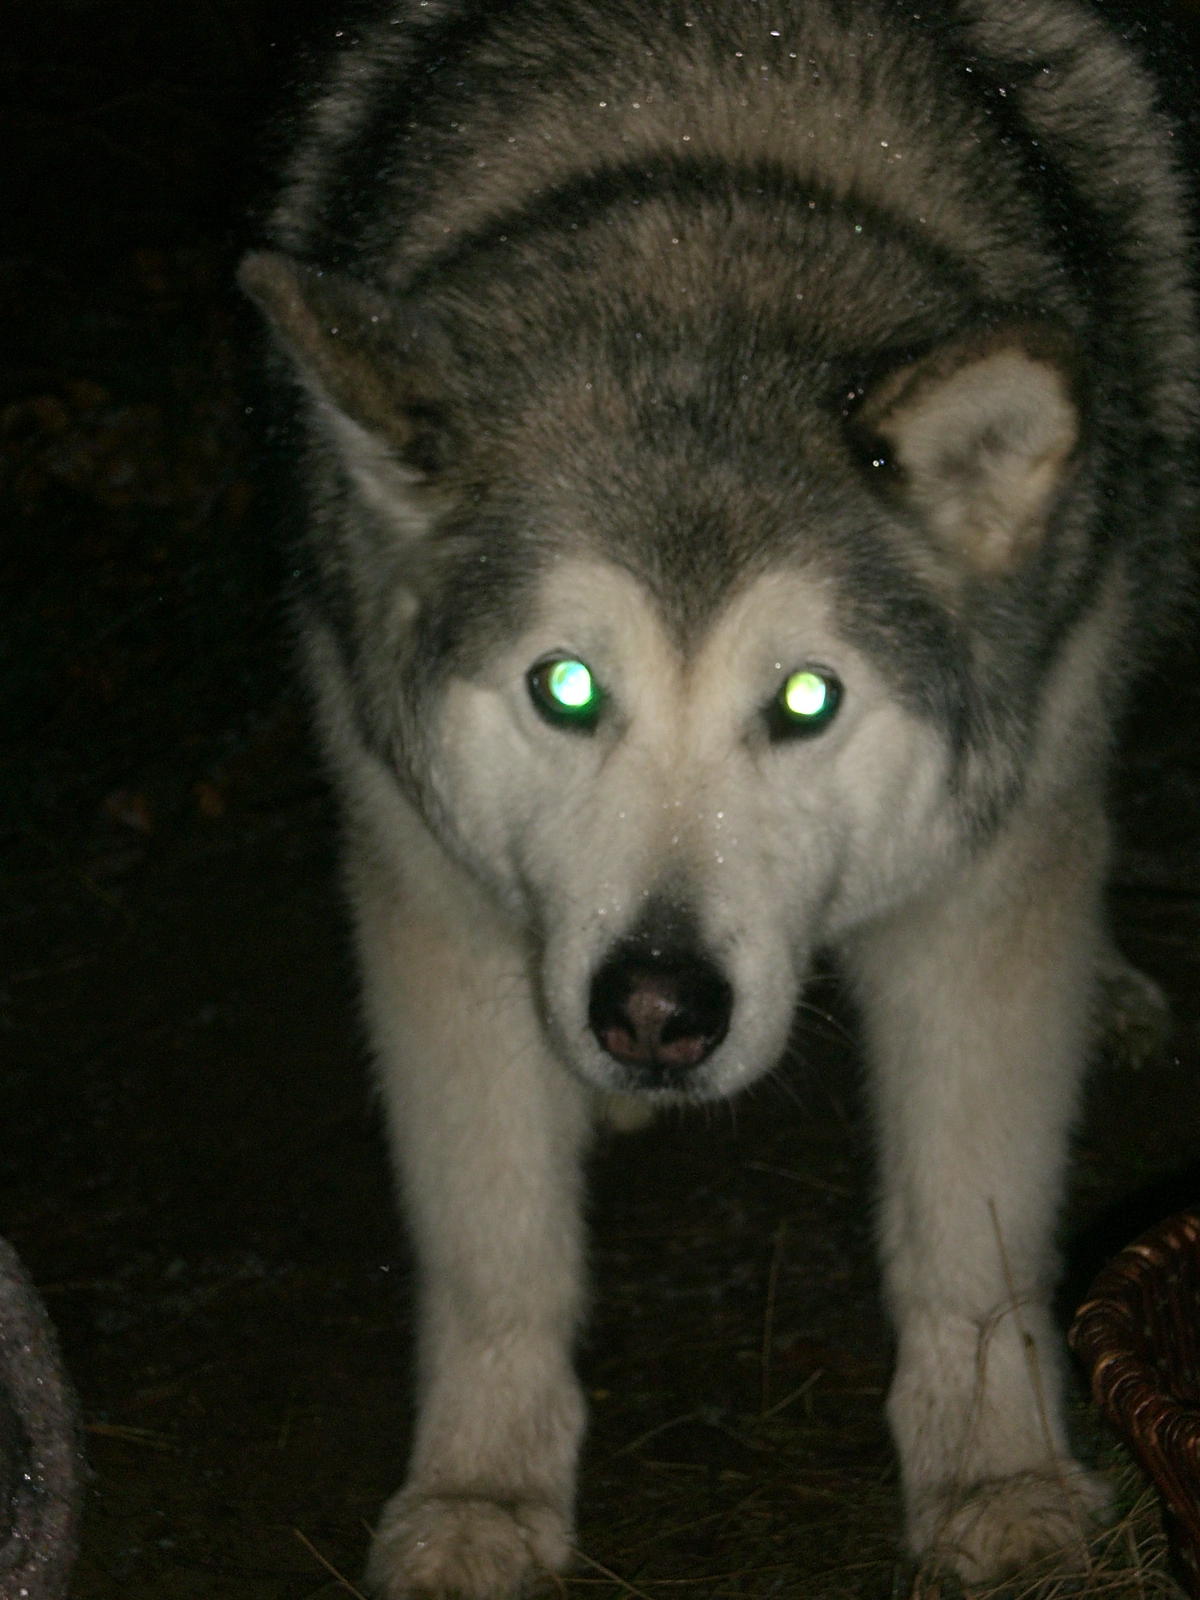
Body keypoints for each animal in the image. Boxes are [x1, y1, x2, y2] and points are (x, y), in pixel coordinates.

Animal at [239, 0, 1197, 1592]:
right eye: (566, 687)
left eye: (805, 702)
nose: (654, 1010)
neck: (705, 191)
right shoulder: (423, 881)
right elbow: (494, 1246)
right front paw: (480, 1494)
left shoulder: (984, 893)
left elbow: (974, 1227)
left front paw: (997, 1477)